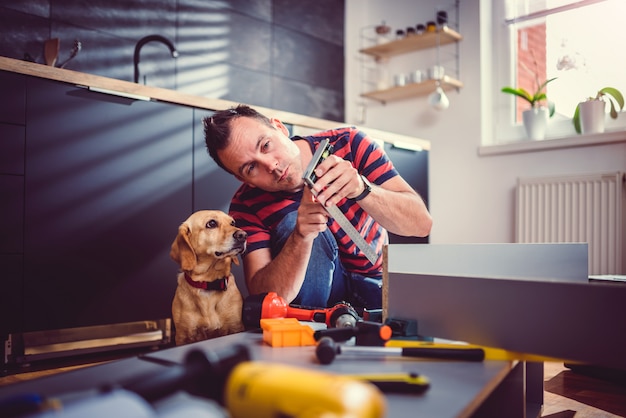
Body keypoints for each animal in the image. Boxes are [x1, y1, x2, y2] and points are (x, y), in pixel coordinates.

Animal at [172, 211, 247, 344]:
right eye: (211, 223)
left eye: (233, 223)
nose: (243, 235)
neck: (208, 283)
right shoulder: (183, 336)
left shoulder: (235, 327)